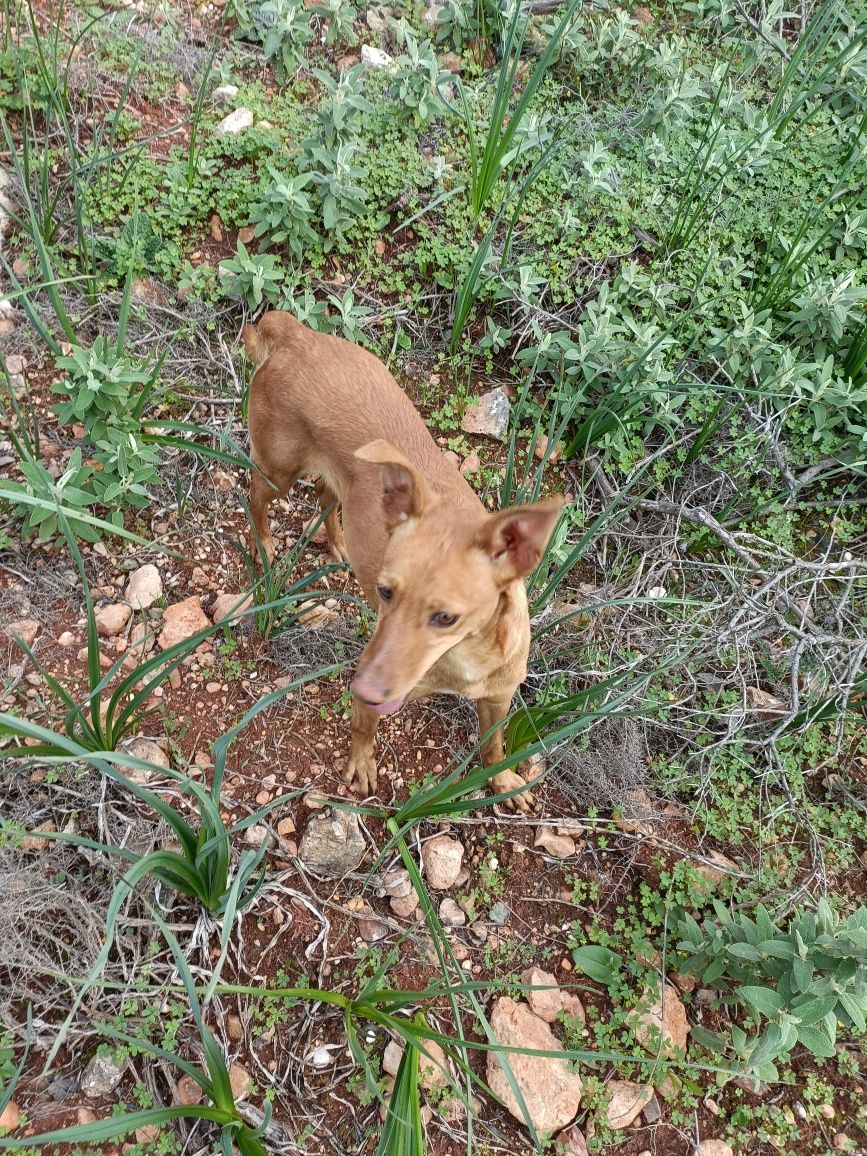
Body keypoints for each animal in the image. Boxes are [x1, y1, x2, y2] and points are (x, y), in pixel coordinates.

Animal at [242, 312, 564, 809]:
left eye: (446, 618)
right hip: (277, 471)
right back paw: (264, 546)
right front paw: (361, 766)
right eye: (385, 592)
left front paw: (504, 782)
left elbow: (494, 746)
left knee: (325, 496)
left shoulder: (498, 698)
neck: (465, 657)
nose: (362, 686)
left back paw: (337, 543)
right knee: (254, 497)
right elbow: (362, 730)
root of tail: (298, 334)